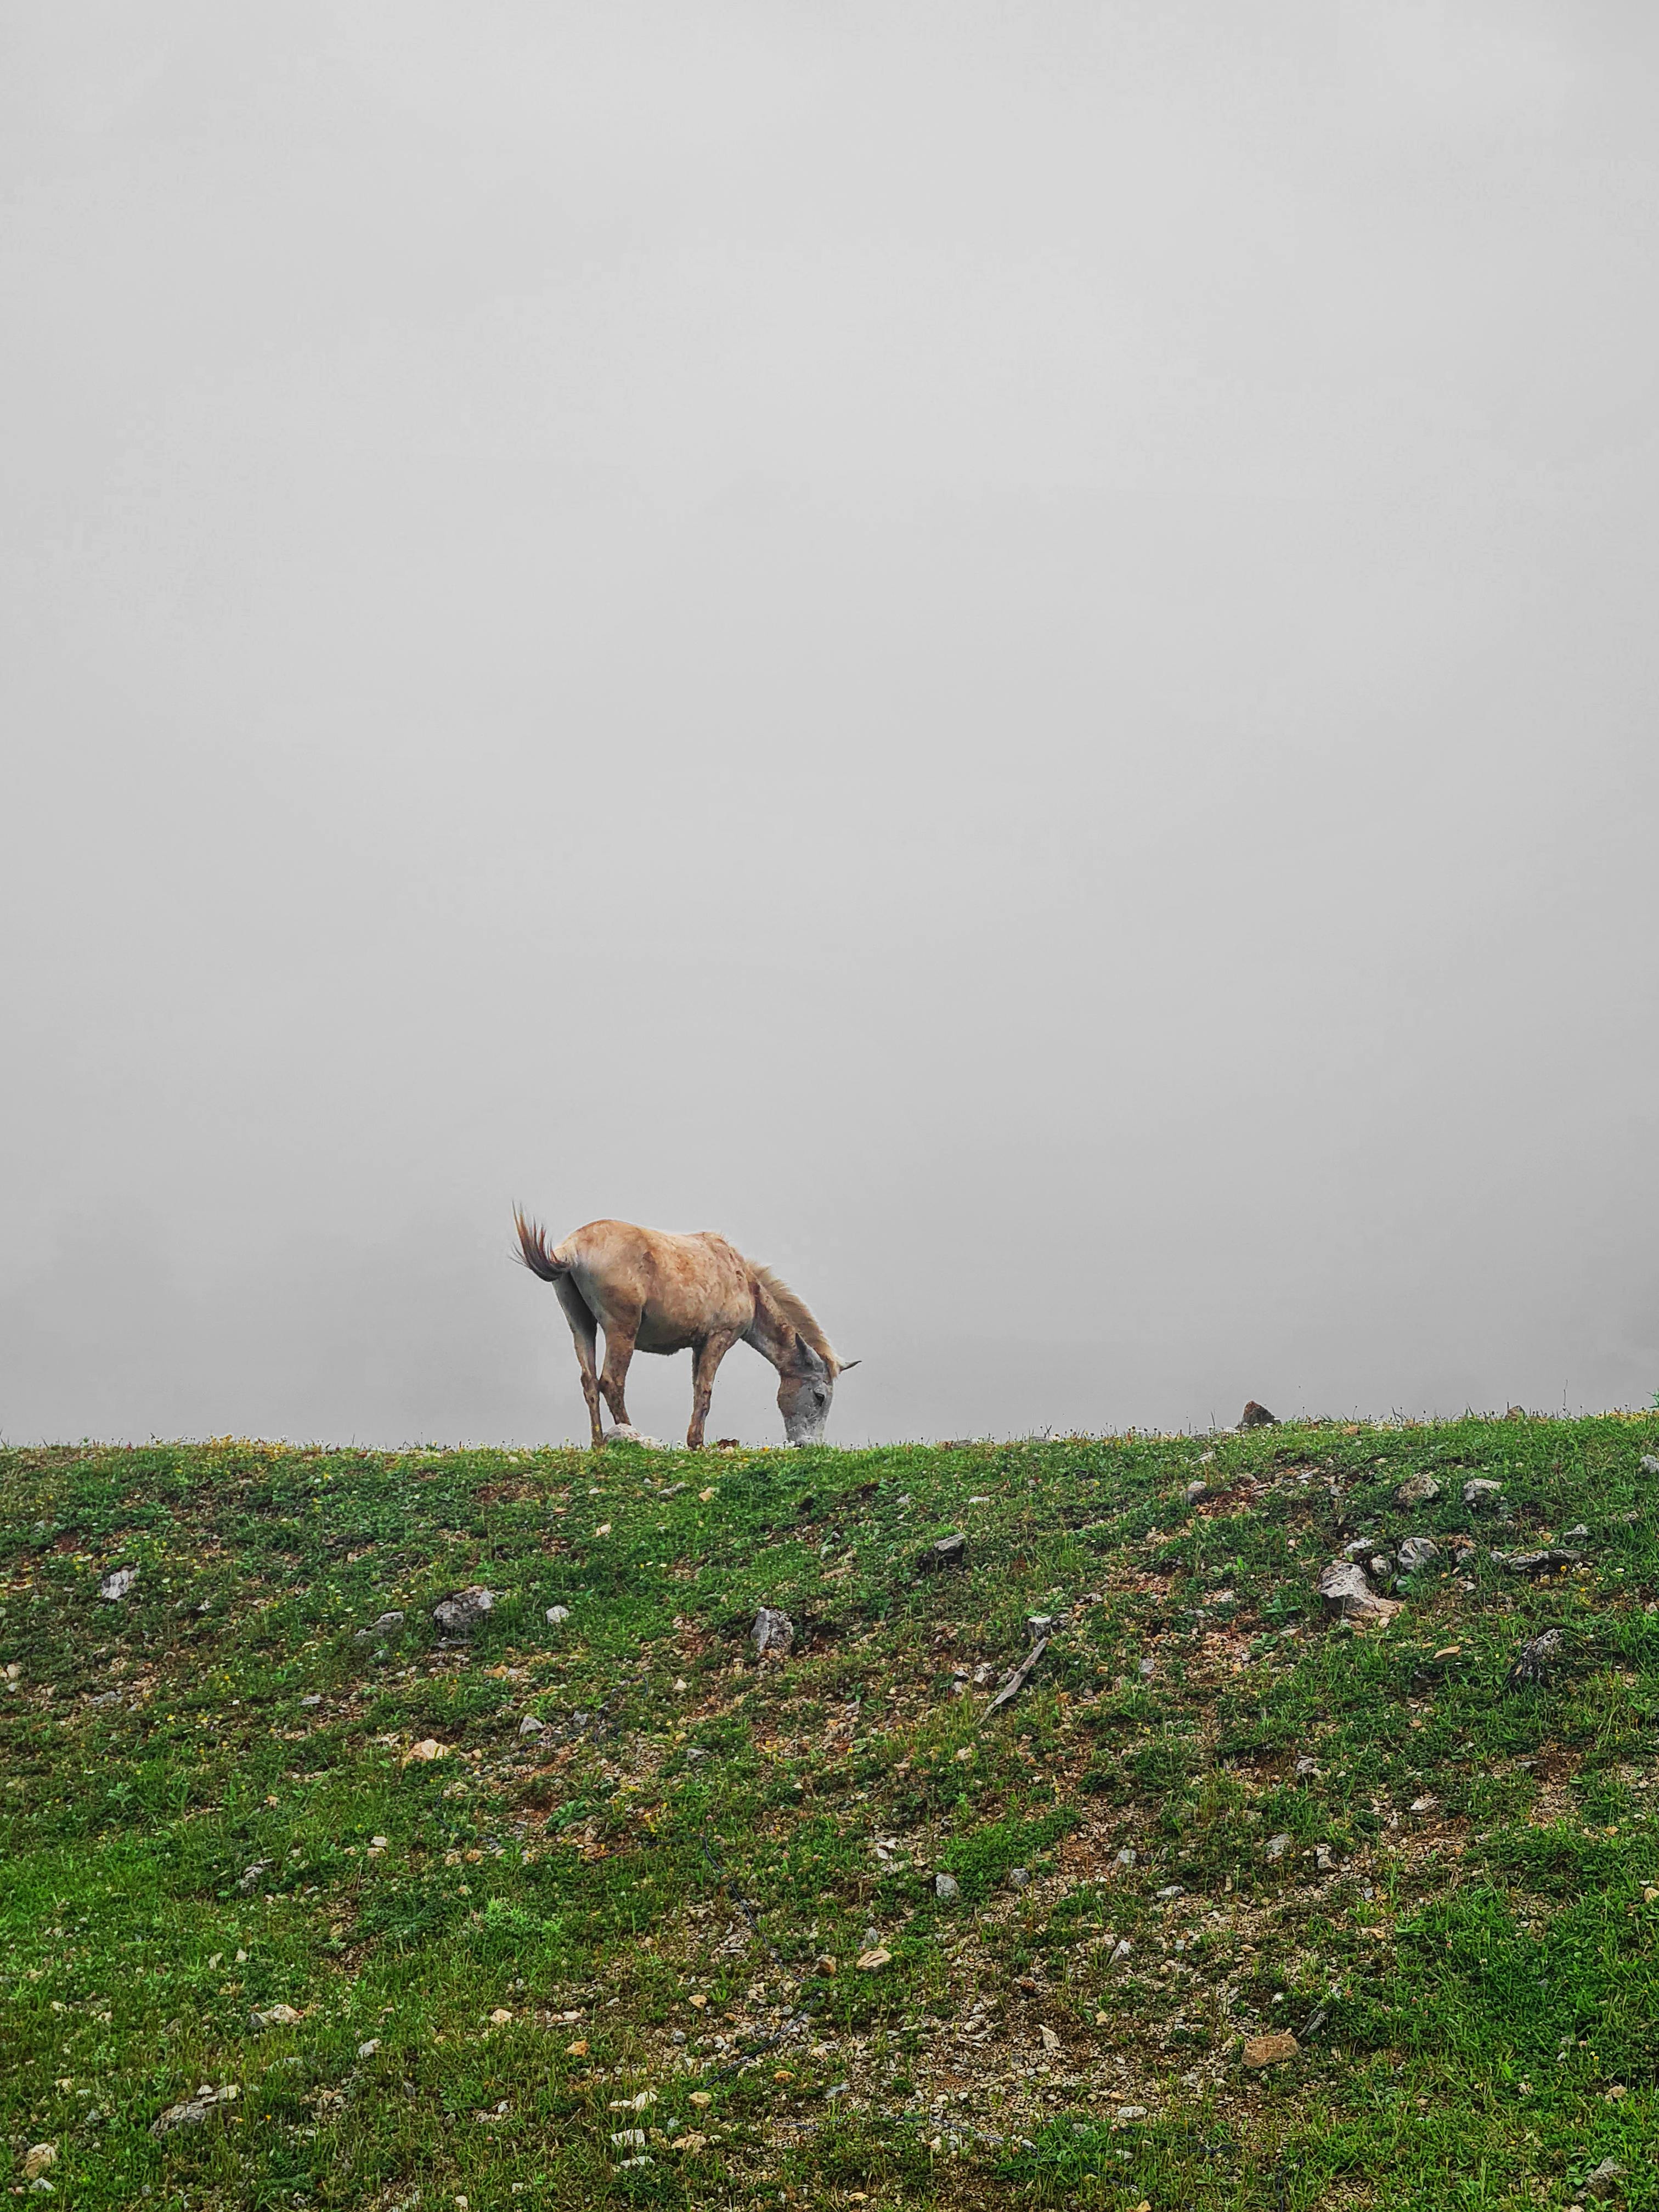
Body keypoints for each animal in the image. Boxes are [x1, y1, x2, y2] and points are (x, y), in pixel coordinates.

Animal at [512, 1211, 857, 1450]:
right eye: (820, 1396)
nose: (808, 1445)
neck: (743, 1281)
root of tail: (571, 1249)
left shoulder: (698, 1345)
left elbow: (696, 1390)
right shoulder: (719, 1339)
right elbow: (704, 1392)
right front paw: (696, 1443)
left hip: (582, 1326)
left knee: (589, 1383)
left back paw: (599, 1444)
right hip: (621, 1330)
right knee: (611, 1382)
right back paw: (633, 1436)